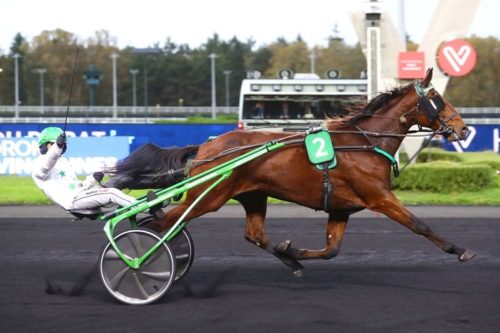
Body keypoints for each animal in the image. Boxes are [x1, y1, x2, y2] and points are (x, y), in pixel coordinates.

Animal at [107, 68, 474, 274]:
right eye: (438, 98)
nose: (464, 128)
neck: (364, 142)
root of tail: (205, 148)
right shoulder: (379, 197)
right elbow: (420, 225)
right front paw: (460, 250)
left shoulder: (341, 207)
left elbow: (331, 249)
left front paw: (293, 251)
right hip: (208, 198)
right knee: (161, 224)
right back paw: (139, 260)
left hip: (253, 196)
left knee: (252, 234)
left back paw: (290, 262)